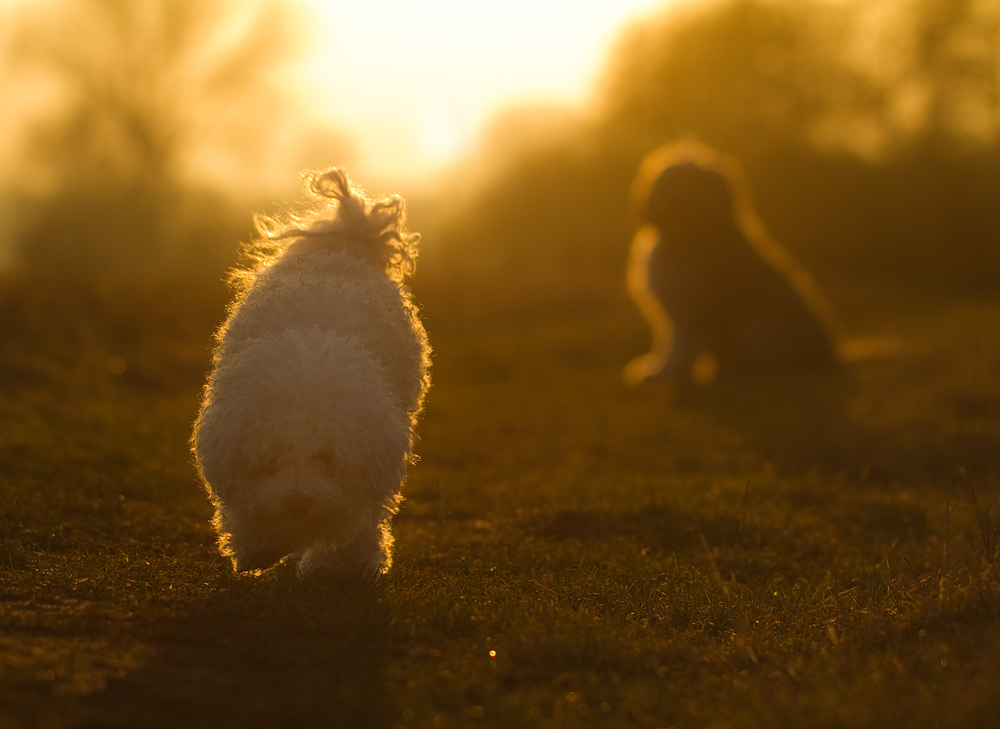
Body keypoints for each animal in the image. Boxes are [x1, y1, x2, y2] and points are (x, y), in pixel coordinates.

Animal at [191, 168, 430, 576]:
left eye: (326, 458)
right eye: (270, 459)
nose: (297, 503)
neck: (309, 353)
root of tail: (344, 247)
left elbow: (358, 523)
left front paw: (341, 564)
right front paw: (258, 545)